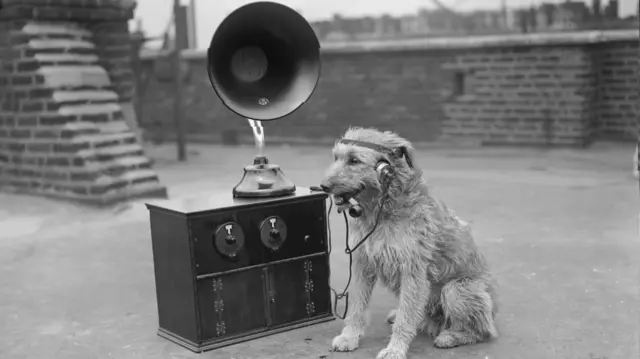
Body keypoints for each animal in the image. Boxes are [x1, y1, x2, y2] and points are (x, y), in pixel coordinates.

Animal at [320, 128, 500, 358]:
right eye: (336, 158)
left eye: (354, 160)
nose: (323, 186)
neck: (383, 209)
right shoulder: (363, 264)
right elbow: (357, 307)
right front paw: (349, 336)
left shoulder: (412, 271)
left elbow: (406, 319)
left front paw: (395, 349)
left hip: (457, 290)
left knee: (482, 331)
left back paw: (451, 336)